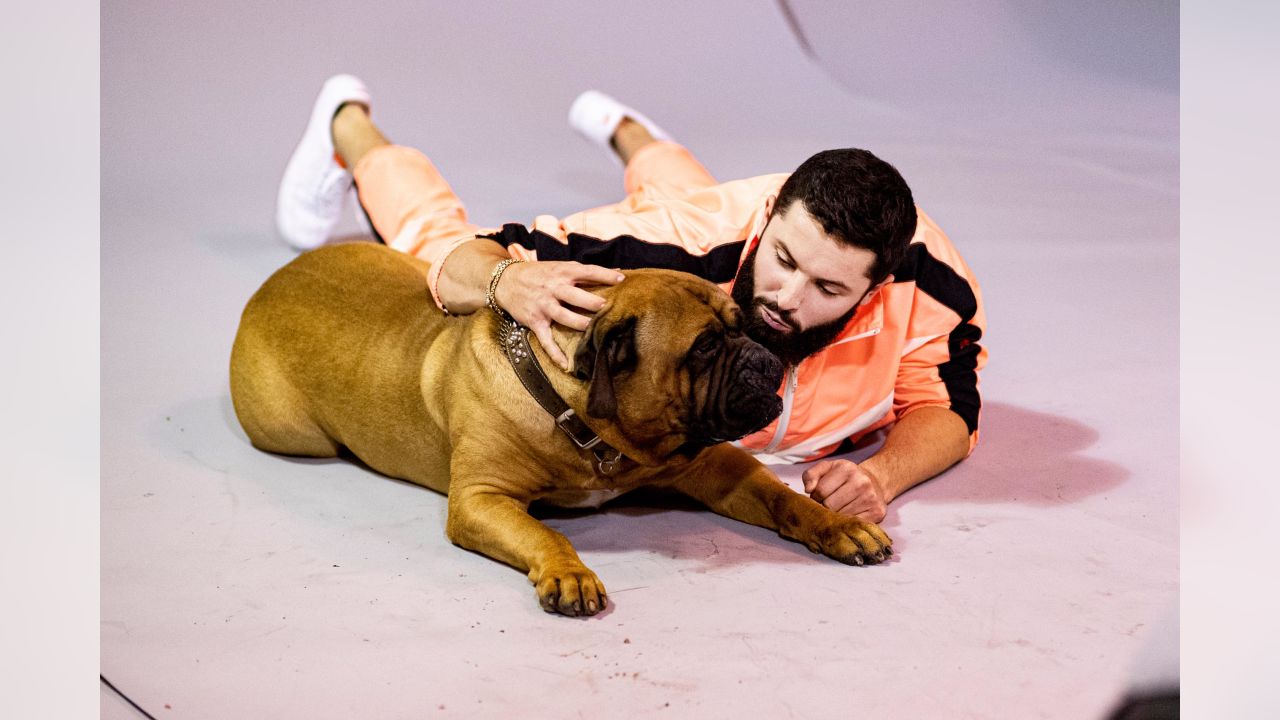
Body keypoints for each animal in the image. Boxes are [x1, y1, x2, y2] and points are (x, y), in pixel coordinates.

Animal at [230, 240, 890, 609]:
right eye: (703, 349)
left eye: (740, 324)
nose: (764, 359)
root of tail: (269, 283)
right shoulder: (481, 500)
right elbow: (546, 533)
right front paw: (569, 574)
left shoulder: (718, 466)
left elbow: (784, 498)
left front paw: (838, 524)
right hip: (291, 434)